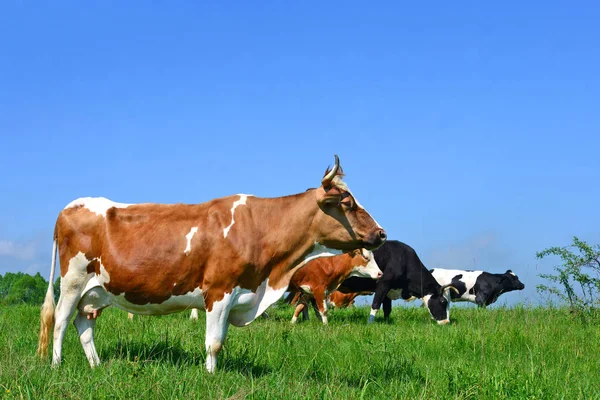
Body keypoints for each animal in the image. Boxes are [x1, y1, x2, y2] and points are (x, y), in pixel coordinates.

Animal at [37, 155, 386, 372]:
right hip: (73, 282)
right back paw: (56, 365)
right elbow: (214, 343)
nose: (381, 233)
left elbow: (220, 341)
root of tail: (72, 206)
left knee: (84, 325)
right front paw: (210, 376)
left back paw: (96, 365)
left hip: (96, 292)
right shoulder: (218, 291)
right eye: (347, 203)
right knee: (61, 321)